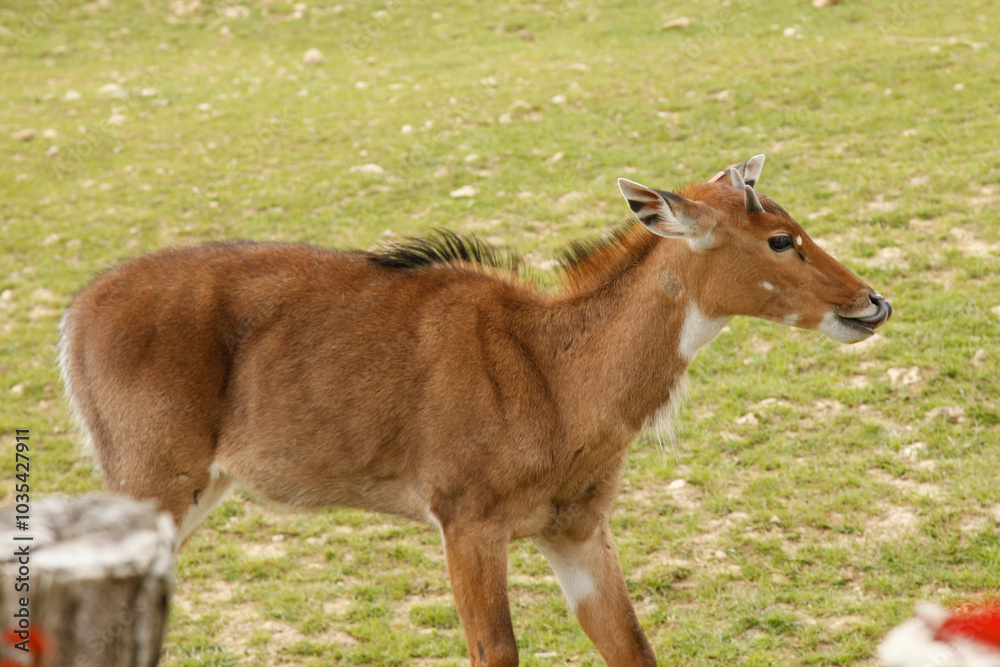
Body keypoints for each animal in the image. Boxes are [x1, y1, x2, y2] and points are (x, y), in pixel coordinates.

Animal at [59, 155, 891, 666]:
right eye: (779, 238)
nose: (872, 302)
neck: (557, 373)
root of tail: (75, 313)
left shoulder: (576, 529)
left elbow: (632, 644)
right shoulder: (466, 522)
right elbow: (496, 649)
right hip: (151, 480)